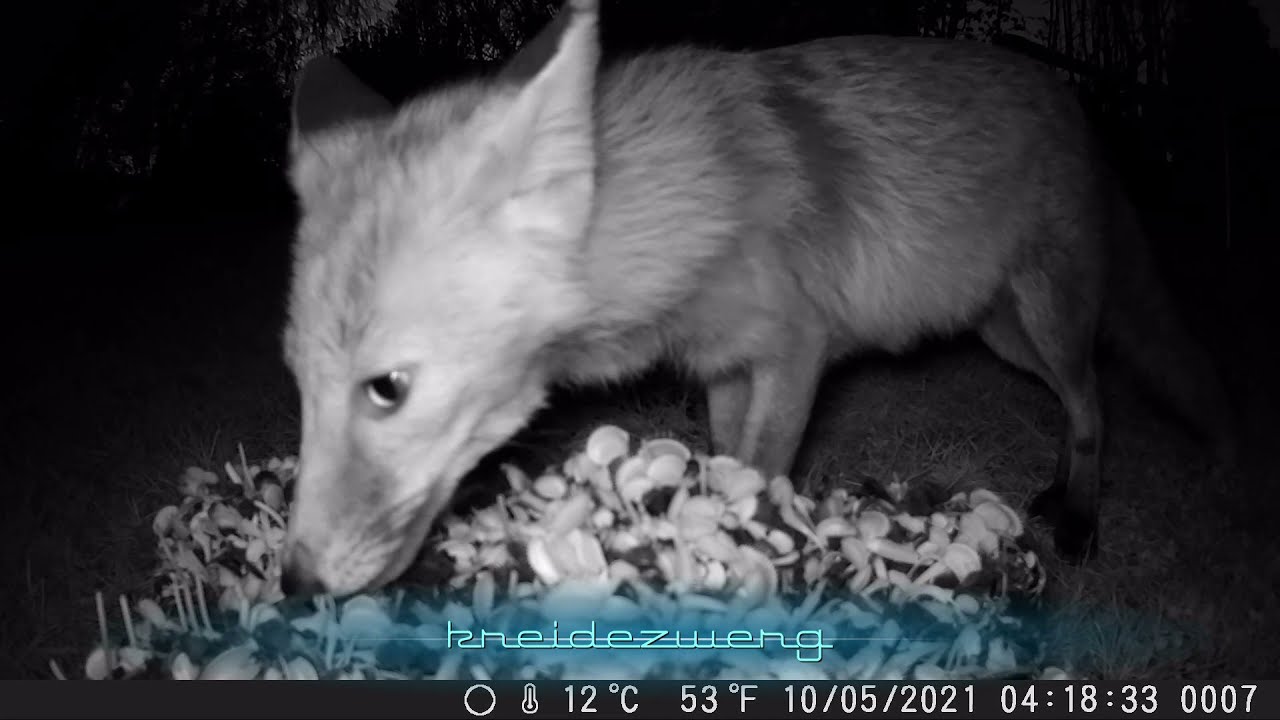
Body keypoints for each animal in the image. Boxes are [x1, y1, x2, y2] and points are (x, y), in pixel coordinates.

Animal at [278, 0, 1235, 597]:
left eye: (387, 389)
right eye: (299, 386)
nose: (295, 584)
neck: (694, 204)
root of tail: (1070, 96)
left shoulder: (793, 351)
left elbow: (761, 478)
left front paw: (748, 570)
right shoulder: (725, 367)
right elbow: (722, 467)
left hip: (1046, 319)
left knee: (1094, 405)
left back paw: (1079, 523)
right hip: (1002, 333)